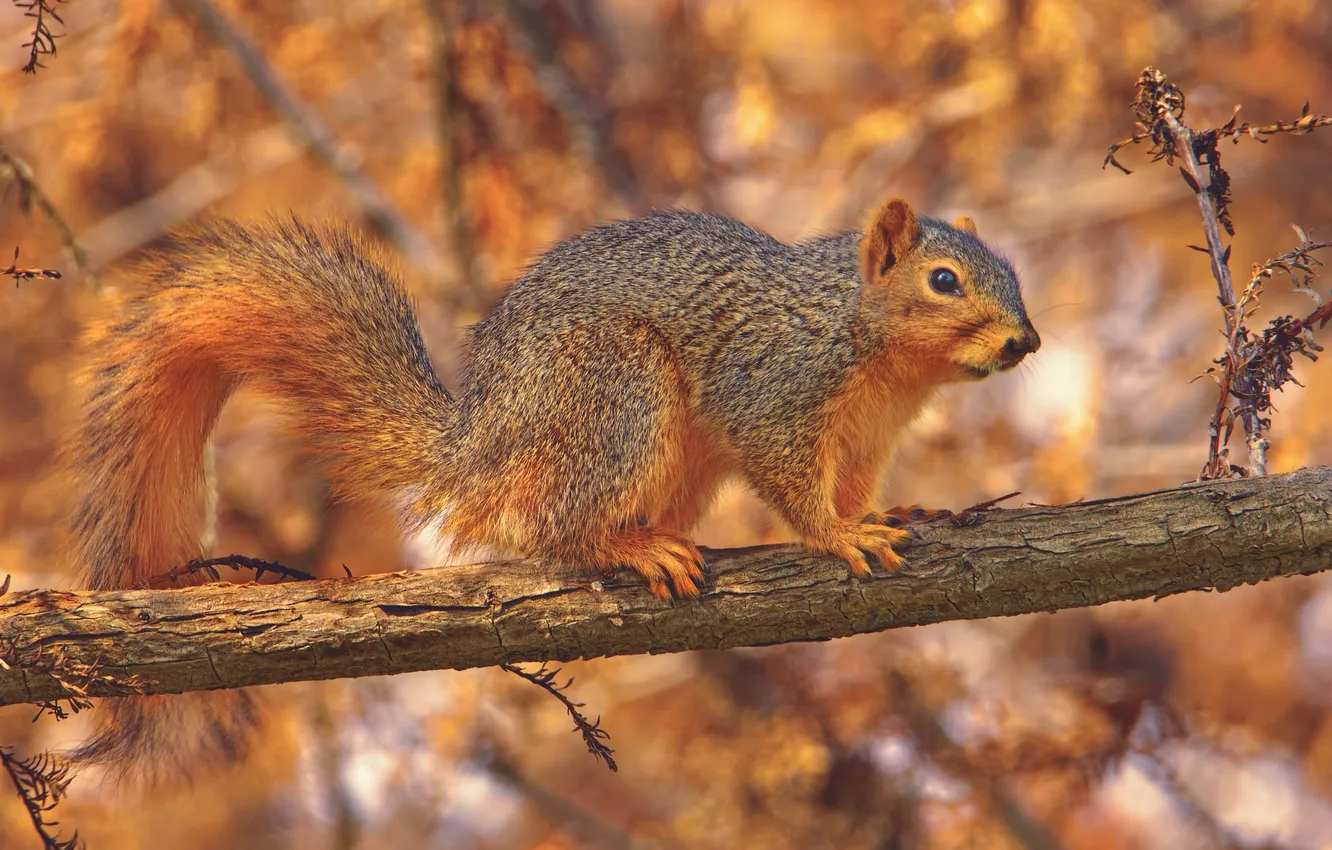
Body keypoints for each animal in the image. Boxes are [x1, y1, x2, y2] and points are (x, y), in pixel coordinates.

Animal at [67, 194, 1033, 778]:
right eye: (943, 281)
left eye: (1013, 273)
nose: (1025, 342)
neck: (873, 345)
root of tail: (484, 442)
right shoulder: (775, 387)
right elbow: (790, 478)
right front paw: (835, 535)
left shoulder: (867, 431)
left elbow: (855, 485)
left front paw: (882, 513)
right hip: (618, 391)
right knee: (556, 530)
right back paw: (629, 548)